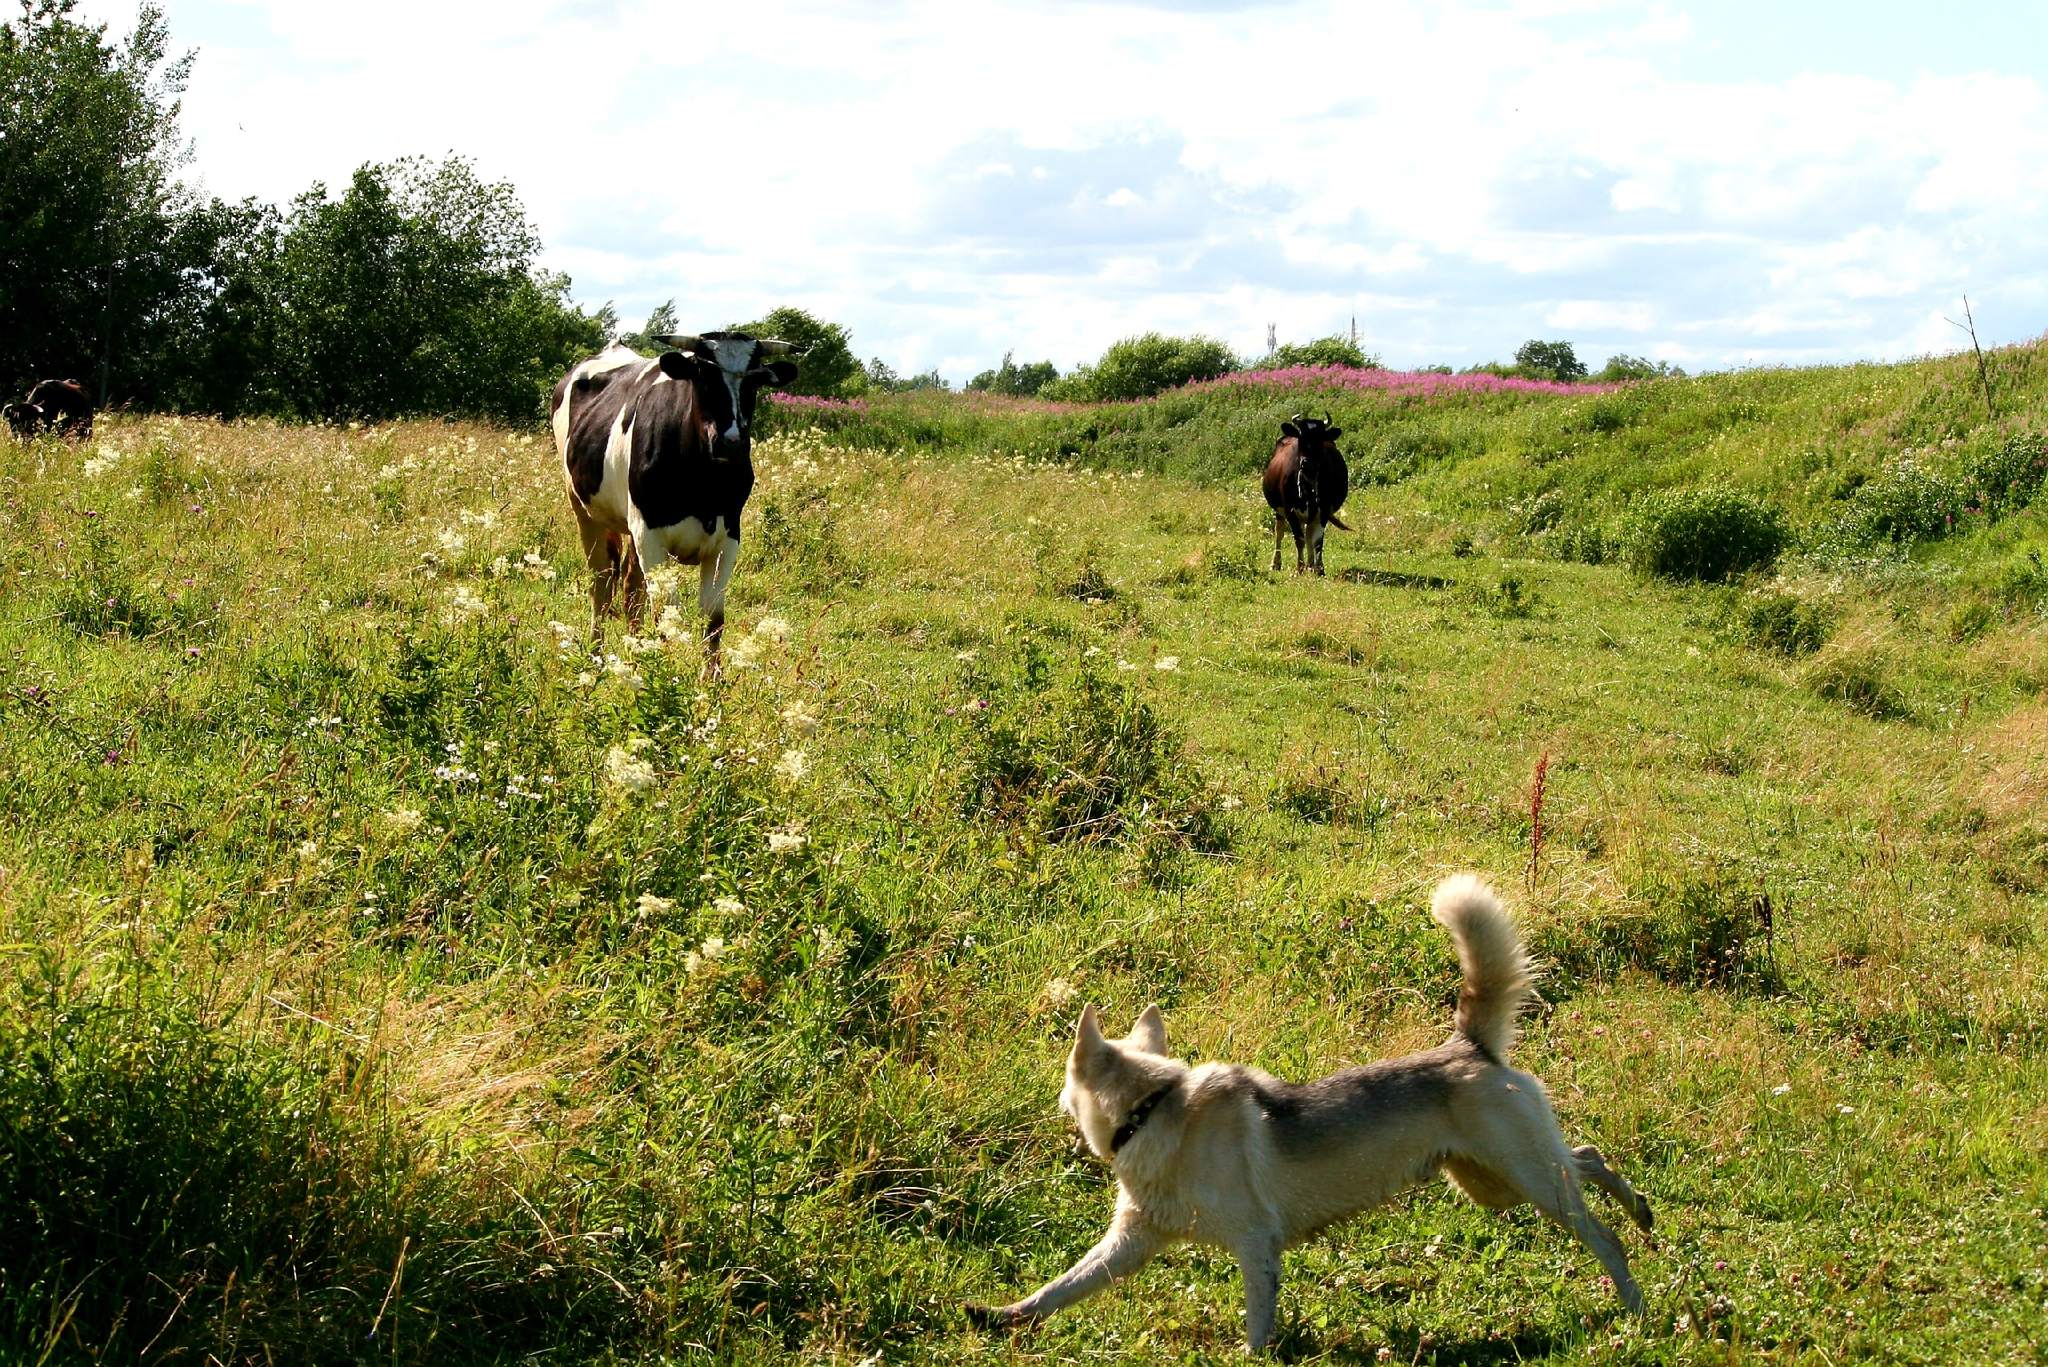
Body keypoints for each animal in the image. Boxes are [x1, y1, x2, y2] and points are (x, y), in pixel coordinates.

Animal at [552, 334, 798, 672]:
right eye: (703, 375)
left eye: (754, 381)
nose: (730, 442)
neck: (703, 483)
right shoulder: (650, 534)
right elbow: (666, 617)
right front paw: (667, 674)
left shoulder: (728, 539)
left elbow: (713, 620)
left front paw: (710, 682)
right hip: (584, 511)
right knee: (601, 587)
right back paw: (596, 656)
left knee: (631, 590)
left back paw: (635, 653)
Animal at [966, 881, 1654, 1352]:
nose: (1052, 1098)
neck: (1154, 1112)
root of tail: (1469, 1045)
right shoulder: (1130, 1243)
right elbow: (1060, 1287)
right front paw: (1001, 1317)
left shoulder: (1255, 1244)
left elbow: (1256, 1327)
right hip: (1493, 1185)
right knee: (1588, 1158)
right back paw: (1643, 1211)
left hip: (1530, 1183)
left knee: (1602, 1227)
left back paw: (1636, 1300)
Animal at [1253, 411, 1351, 573]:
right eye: (1301, 438)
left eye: (1320, 439)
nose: (1307, 462)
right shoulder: (1290, 509)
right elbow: (1299, 539)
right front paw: (1299, 567)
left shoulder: (1324, 510)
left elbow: (1317, 541)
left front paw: (1319, 569)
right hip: (1280, 510)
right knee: (1280, 533)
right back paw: (1276, 563)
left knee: (1309, 533)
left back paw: (1311, 564)